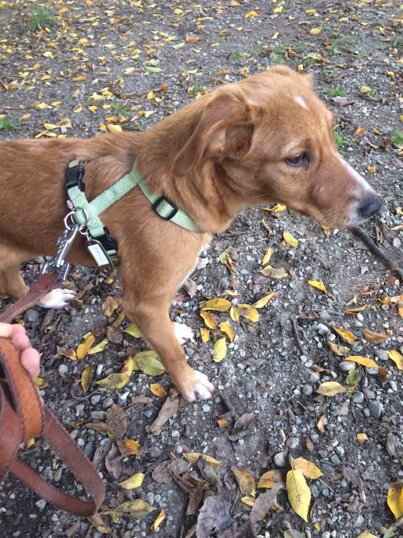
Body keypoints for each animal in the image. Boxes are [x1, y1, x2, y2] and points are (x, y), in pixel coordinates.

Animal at [0, 66, 382, 401]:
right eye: (297, 158)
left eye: (331, 134)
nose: (375, 204)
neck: (168, 196)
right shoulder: (143, 301)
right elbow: (170, 352)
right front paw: (187, 383)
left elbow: (167, 332)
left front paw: (174, 331)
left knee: (15, 282)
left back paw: (47, 297)